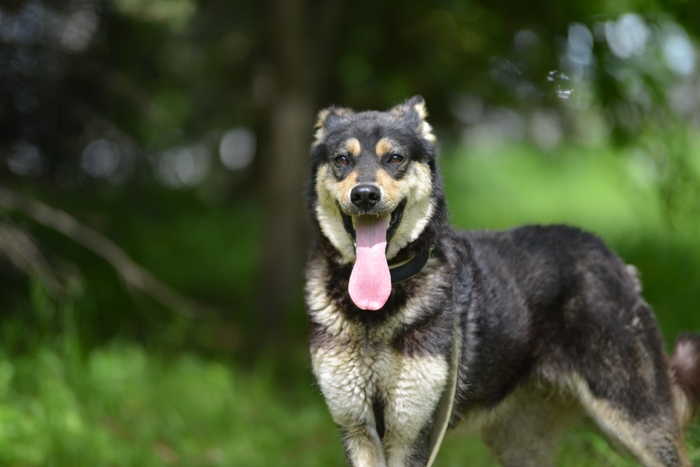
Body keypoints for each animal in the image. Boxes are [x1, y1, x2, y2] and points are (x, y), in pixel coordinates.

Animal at [304, 95, 700, 466]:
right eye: (342, 160)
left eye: (395, 158)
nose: (365, 195)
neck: (374, 313)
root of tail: (615, 261)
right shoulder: (358, 429)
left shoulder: (411, 431)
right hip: (521, 441)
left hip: (635, 420)